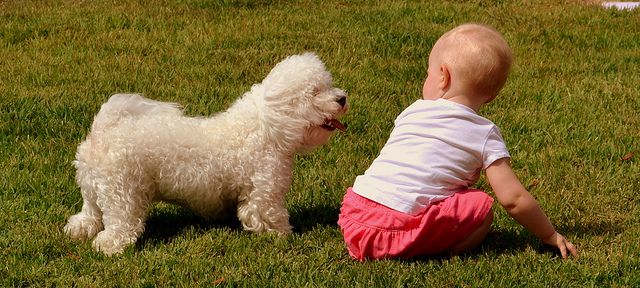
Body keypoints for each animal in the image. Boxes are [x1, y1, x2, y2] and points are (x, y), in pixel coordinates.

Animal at [62, 53, 348, 255]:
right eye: (315, 93)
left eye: (329, 86)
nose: (342, 98)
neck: (264, 126)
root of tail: (103, 131)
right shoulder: (264, 194)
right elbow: (267, 217)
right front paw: (285, 237)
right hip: (122, 194)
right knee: (119, 226)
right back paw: (110, 248)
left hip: (92, 190)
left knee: (87, 216)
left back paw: (77, 232)